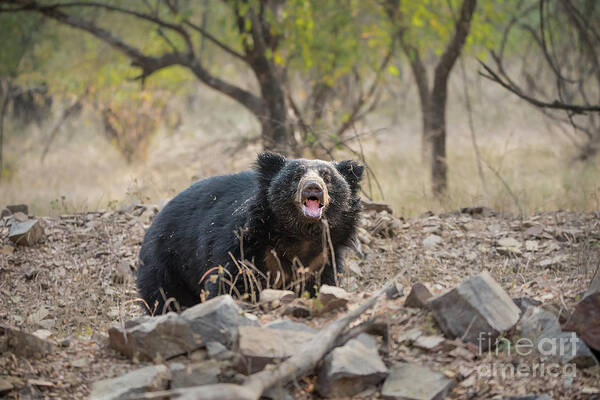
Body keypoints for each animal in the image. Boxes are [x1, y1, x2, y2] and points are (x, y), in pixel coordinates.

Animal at [136, 151, 364, 312]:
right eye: (296, 176)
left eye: (327, 177)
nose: (313, 187)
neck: (300, 235)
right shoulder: (245, 244)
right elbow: (231, 281)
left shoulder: (322, 258)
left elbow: (323, 284)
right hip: (168, 259)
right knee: (165, 295)